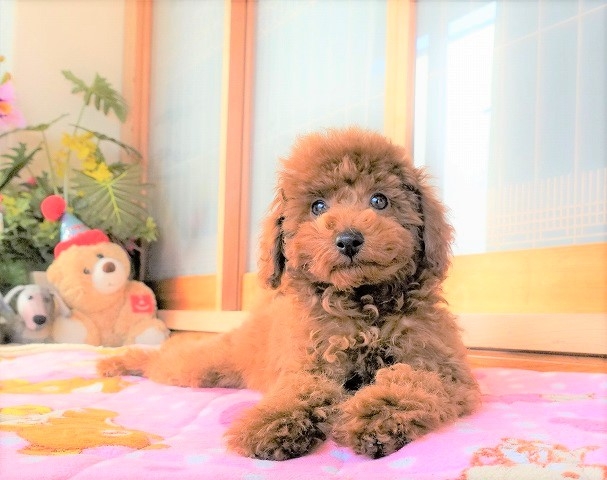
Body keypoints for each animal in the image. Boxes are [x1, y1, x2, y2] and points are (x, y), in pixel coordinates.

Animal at [98, 127, 481, 460]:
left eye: (380, 200)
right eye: (318, 207)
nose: (348, 239)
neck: (362, 304)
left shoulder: (439, 366)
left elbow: (409, 381)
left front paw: (375, 416)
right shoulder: (310, 364)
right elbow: (300, 391)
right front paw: (272, 425)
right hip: (207, 365)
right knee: (167, 358)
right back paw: (119, 361)